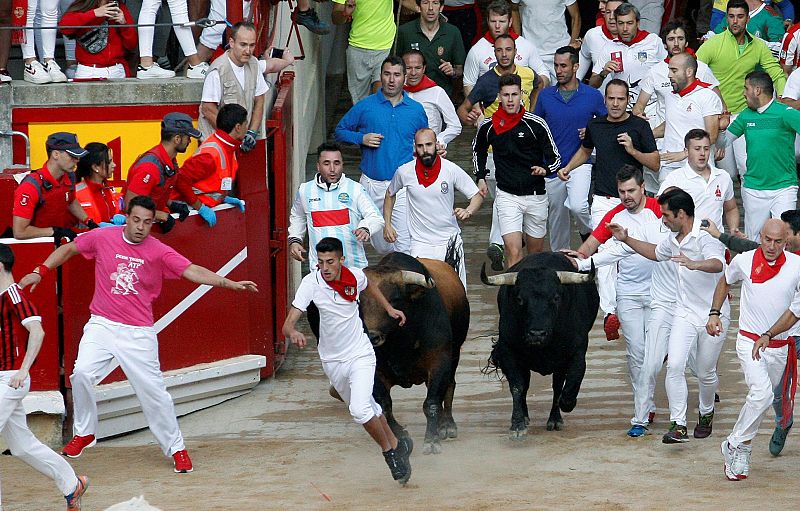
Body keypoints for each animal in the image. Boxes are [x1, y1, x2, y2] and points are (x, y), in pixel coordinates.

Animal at [306, 254, 468, 454]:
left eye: (394, 299)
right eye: (359, 302)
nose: (372, 336)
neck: (401, 341)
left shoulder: (440, 361)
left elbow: (431, 403)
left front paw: (431, 440)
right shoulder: (375, 370)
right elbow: (385, 405)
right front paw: (400, 435)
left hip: (455, 355)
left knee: (450, 385)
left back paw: (447, 425)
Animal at [482, 252, 592, 440]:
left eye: (556, 298)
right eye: (520, 299)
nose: (537, 334)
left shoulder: (577, 353)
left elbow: (571, 383)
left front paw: (567, 404)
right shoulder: (509, 352)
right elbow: (517, 386)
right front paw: (517, 424)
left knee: (557, 386)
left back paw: (555, 419)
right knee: (526, 385)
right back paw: (527, 417)